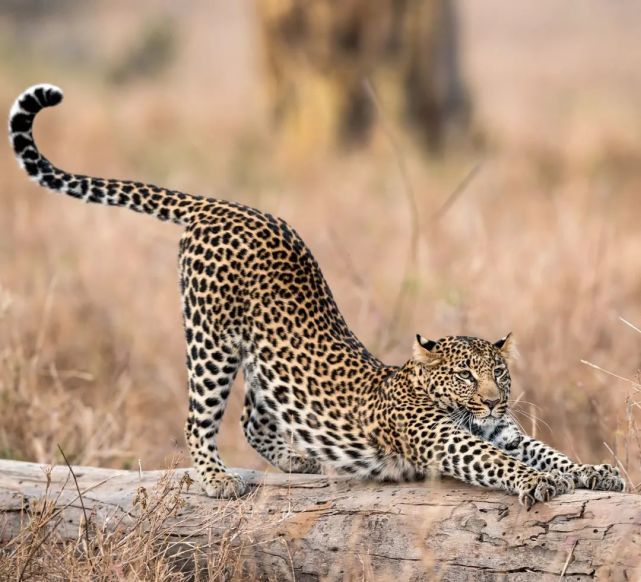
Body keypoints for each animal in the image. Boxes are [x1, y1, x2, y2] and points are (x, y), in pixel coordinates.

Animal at [7, 84, 624, 508]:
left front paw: (593, 470)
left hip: (261, 357)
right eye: (464, 376)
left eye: (499, 374)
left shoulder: (504, 431)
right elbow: (497, 459)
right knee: (199, 418)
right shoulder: (446, 441)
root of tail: (222, 205)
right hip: (211, 341)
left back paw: (297, 459)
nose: (495, 401)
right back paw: (215, 479)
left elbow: (542, 447)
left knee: (254, 417)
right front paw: (542, 481)